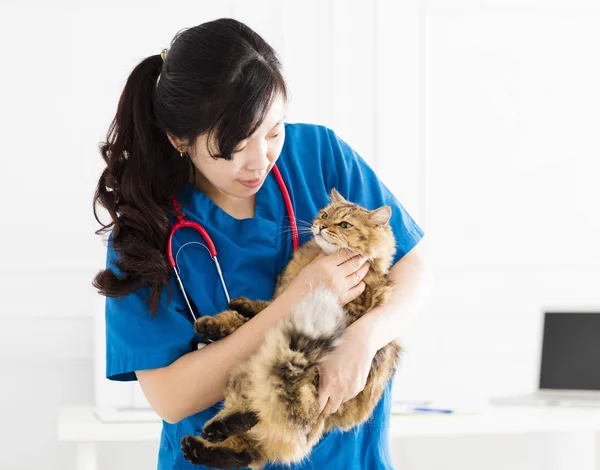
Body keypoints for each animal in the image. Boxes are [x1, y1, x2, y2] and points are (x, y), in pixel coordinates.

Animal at [179, 189, 404, 468]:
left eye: (345, 225)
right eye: (325, 215)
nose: (322, 227)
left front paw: (228, 315)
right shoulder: (282, 304)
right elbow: (253, 314)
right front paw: (220, 319)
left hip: (264, 375)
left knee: (252, 424)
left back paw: (219, 429)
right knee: (243, 451)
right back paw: (197, 445)